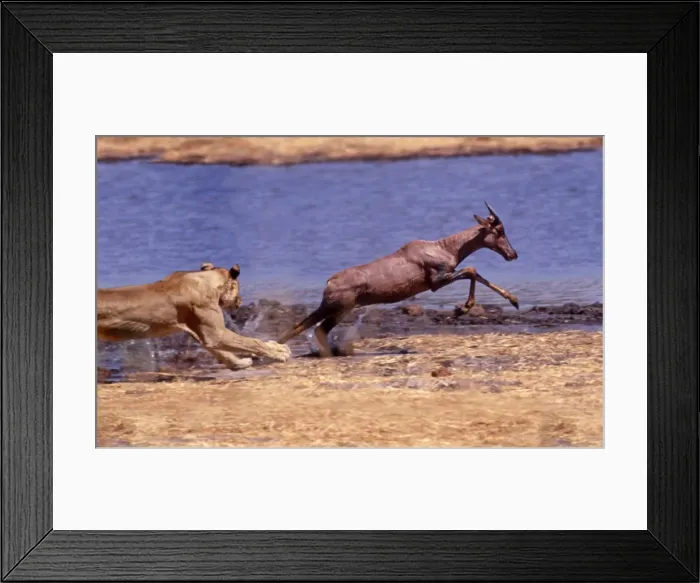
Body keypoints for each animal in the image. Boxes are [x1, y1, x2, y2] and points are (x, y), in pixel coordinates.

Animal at [97, 262, 292, 371]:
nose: (240, 301)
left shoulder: (203, 333)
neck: (206, 280)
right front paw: (279, 351)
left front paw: (240, 363)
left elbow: (223, 353)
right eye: (237, 285)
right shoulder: (215, 333)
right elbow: (252, 342)